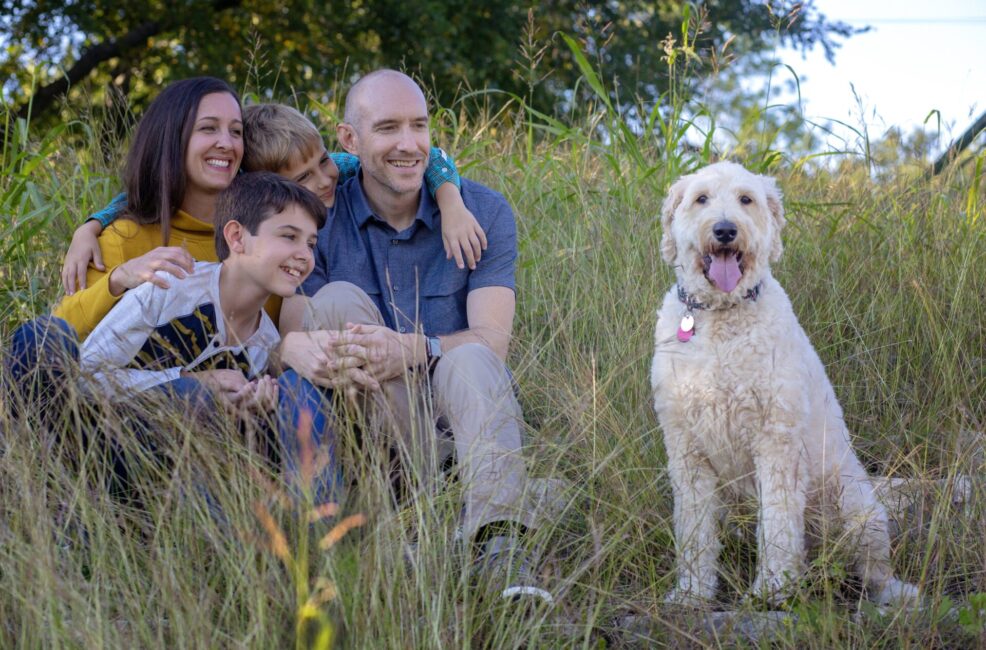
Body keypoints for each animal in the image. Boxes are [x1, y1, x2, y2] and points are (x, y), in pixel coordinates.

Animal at [648, 161, 920, 604]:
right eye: (701, 198)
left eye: (746, 199)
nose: (725, 230)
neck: (722, 318)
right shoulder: (686, 448)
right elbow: (694, 530)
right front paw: (691, 592)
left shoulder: (776, 442)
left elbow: (777, 522)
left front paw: (772, 589)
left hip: (857, 508)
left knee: (874, 570)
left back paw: (890, 596)